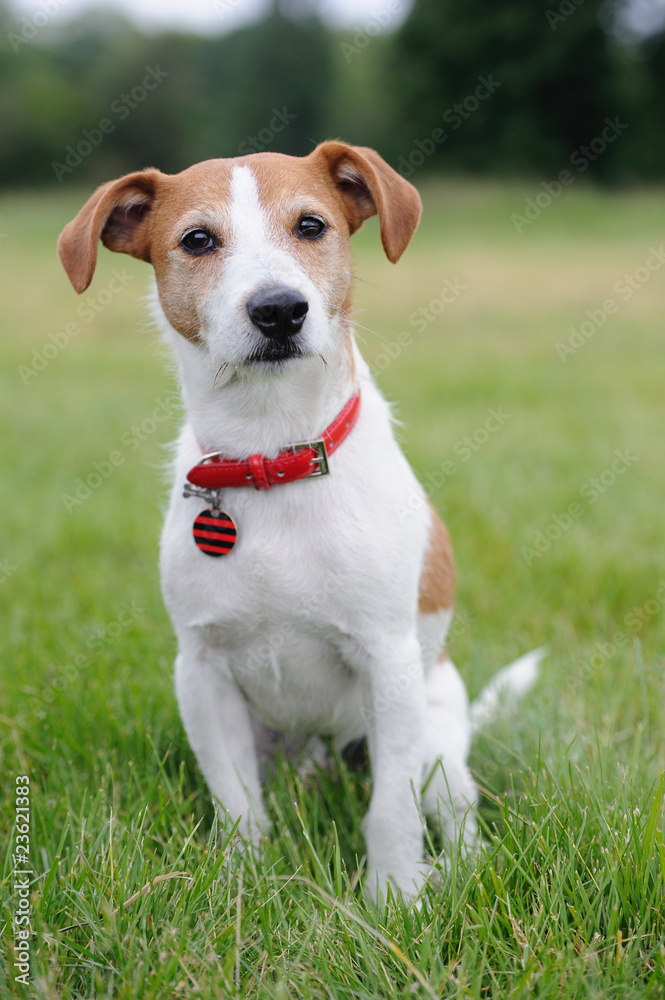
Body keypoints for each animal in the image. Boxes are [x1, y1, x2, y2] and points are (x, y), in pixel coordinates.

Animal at [58, 141, 544, 900]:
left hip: (435, 732)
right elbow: (237, 803)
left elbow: (392, 809)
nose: (279, 309)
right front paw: (240, 882)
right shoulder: (201, 672)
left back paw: (451, 869)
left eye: (311, 226)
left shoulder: (388, 662)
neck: (271, 455)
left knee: (454, 807)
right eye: (197, 240)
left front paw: (394, 897)